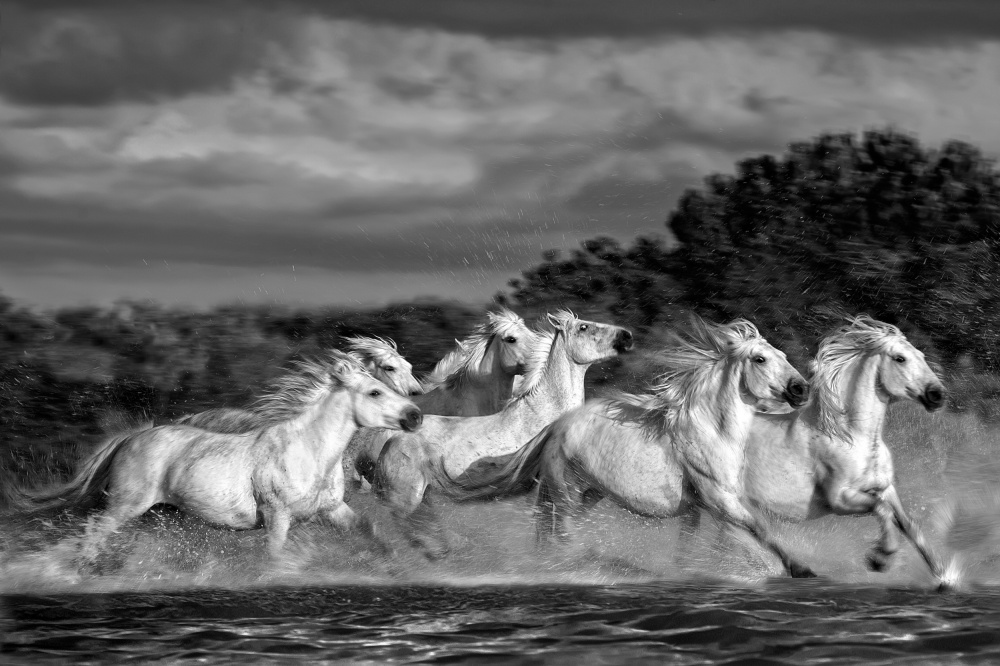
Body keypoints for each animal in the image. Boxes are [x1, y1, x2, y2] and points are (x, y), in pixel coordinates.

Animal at [14, 348, 422, 564]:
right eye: (375, 390)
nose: (415, 415)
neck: (308, 451)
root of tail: (134, 437)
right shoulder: (277, 516)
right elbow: (275, 559)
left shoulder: (333, 510)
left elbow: (371, 530)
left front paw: (403, 565)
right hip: (126, 505)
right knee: (93, 533)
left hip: (161, 514)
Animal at [376, 310, 632, 556]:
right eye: (584, 327)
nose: (627, 336)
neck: (544, 414)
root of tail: (391, 441)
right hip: (405, 498)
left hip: (423, 496)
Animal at [436, 316, 812, 576]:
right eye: (760, 359)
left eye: (781, 354)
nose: (801, 389)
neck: (710, 430)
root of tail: (555, 426)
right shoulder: (719, 500)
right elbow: (759, 530)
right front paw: (800, 569)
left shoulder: (704, 507)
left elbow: (713, 542)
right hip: (566, 494)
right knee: (562, 538)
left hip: (587, 495)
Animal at [740, 314, 948, 580]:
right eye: (900, 358)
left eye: (921, 355)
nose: (937, 395)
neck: (852, 438)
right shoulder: (840, 499)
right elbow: (882, 510)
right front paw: (880, 558)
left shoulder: (885, 488)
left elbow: (908, 524)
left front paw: (944, 576)